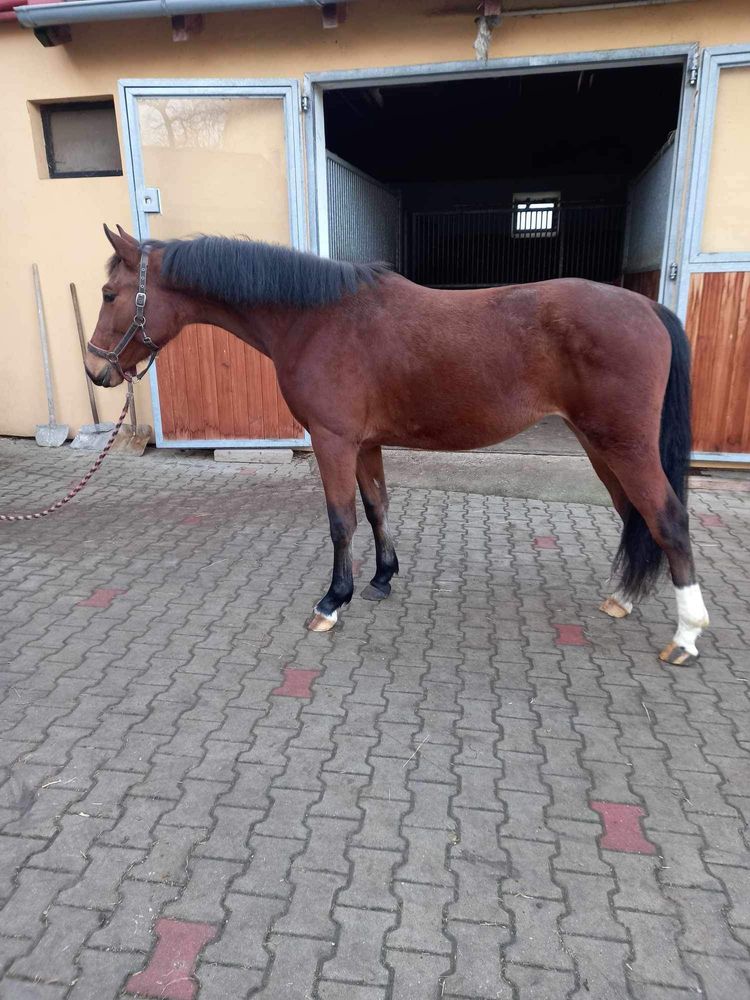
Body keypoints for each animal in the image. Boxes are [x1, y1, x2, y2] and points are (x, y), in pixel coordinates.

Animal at [86, 227, 712, 664]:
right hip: (601, 446)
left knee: (668, 518)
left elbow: (340, 520)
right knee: (635, 514)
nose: (96, 371)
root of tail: (646, 306)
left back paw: (685, 636)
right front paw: (382, 579)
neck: (316, 319)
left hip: (625, 445)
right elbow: (376, 507)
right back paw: (623, 598)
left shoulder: (333, 442)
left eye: (110, 293)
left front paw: (332, 602)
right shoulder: (364, 444)